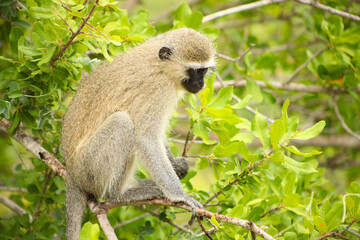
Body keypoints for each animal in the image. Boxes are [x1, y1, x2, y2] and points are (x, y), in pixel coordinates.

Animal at [60, 27, 215, 239]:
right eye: (194, 71)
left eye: (204, 70)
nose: (200, 84)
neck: (162, 67)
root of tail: (71, 171)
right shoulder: (158, 90)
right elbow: (146, 139)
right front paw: (180, 196)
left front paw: (177, 165)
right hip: (88, 168)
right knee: (123, 123)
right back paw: (118, 194)